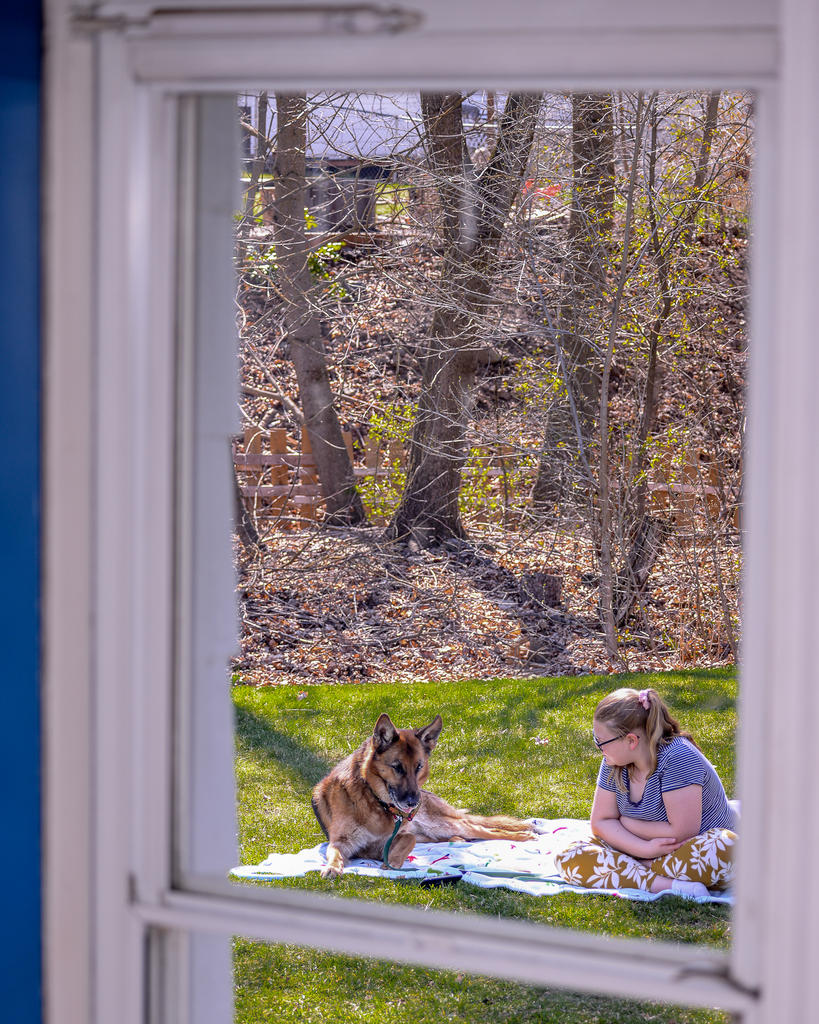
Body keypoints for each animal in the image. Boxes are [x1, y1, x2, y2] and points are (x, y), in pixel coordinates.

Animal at [311, 712, 535, 878]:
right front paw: (332, 867)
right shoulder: (343, 842)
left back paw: (521, 836)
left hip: (442, 823)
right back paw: (458, 840)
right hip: (433, 832)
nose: (413, 803)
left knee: (483, 829)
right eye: (397, 767)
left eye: (418, 767)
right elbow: (335, 853)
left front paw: (393, 862)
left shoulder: (396, 837)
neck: (375, 800)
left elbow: (408, 839)